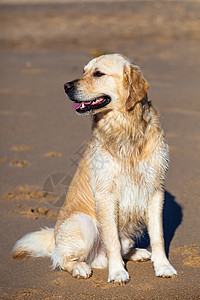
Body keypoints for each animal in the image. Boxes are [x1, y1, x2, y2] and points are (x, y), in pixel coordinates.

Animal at [12, 53, 177, 284]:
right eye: (84, 71)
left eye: (98, 73)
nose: (66, 86)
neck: (126, 127)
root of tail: (55, 239)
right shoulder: (106, 193)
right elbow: (112, 241)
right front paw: (118, 273)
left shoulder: (155, 190)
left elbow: (158, 236)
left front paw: (163, 266)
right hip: (83, 224)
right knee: (63, 260)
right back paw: (80, 267)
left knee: (114, 252)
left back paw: (139, 253)